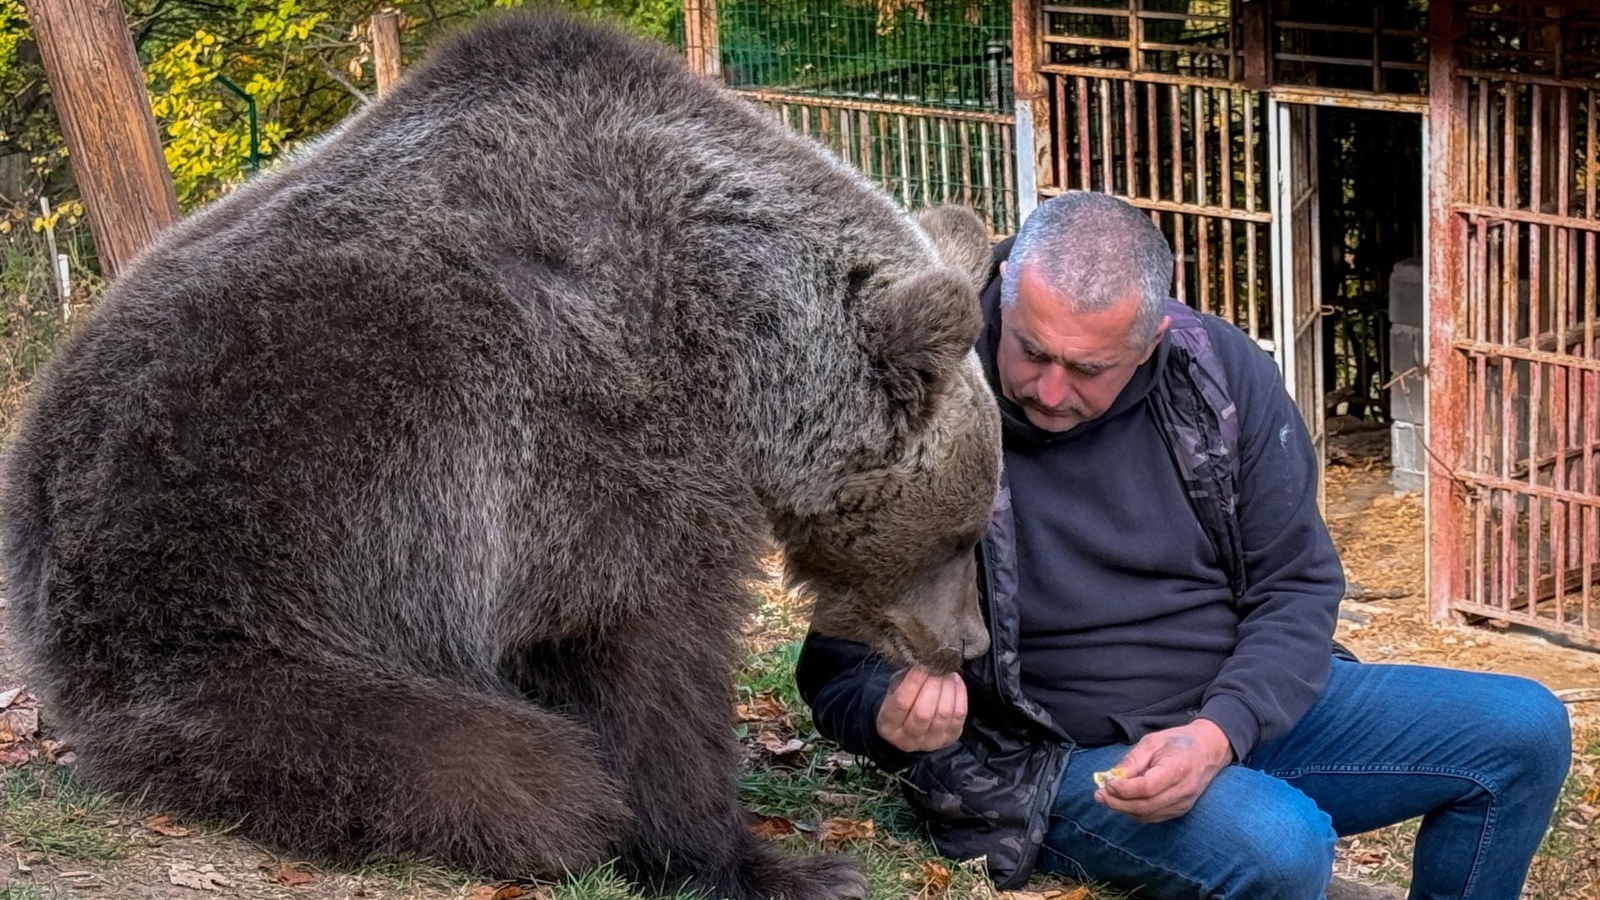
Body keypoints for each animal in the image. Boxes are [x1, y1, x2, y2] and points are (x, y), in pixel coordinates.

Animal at [0, 9, 1002, 900]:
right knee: (489, 766)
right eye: (963, 533)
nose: (968, 644)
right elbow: (645, 654)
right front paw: (767, 862)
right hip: (246, 571)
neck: (733, 336)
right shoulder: (589, 440)